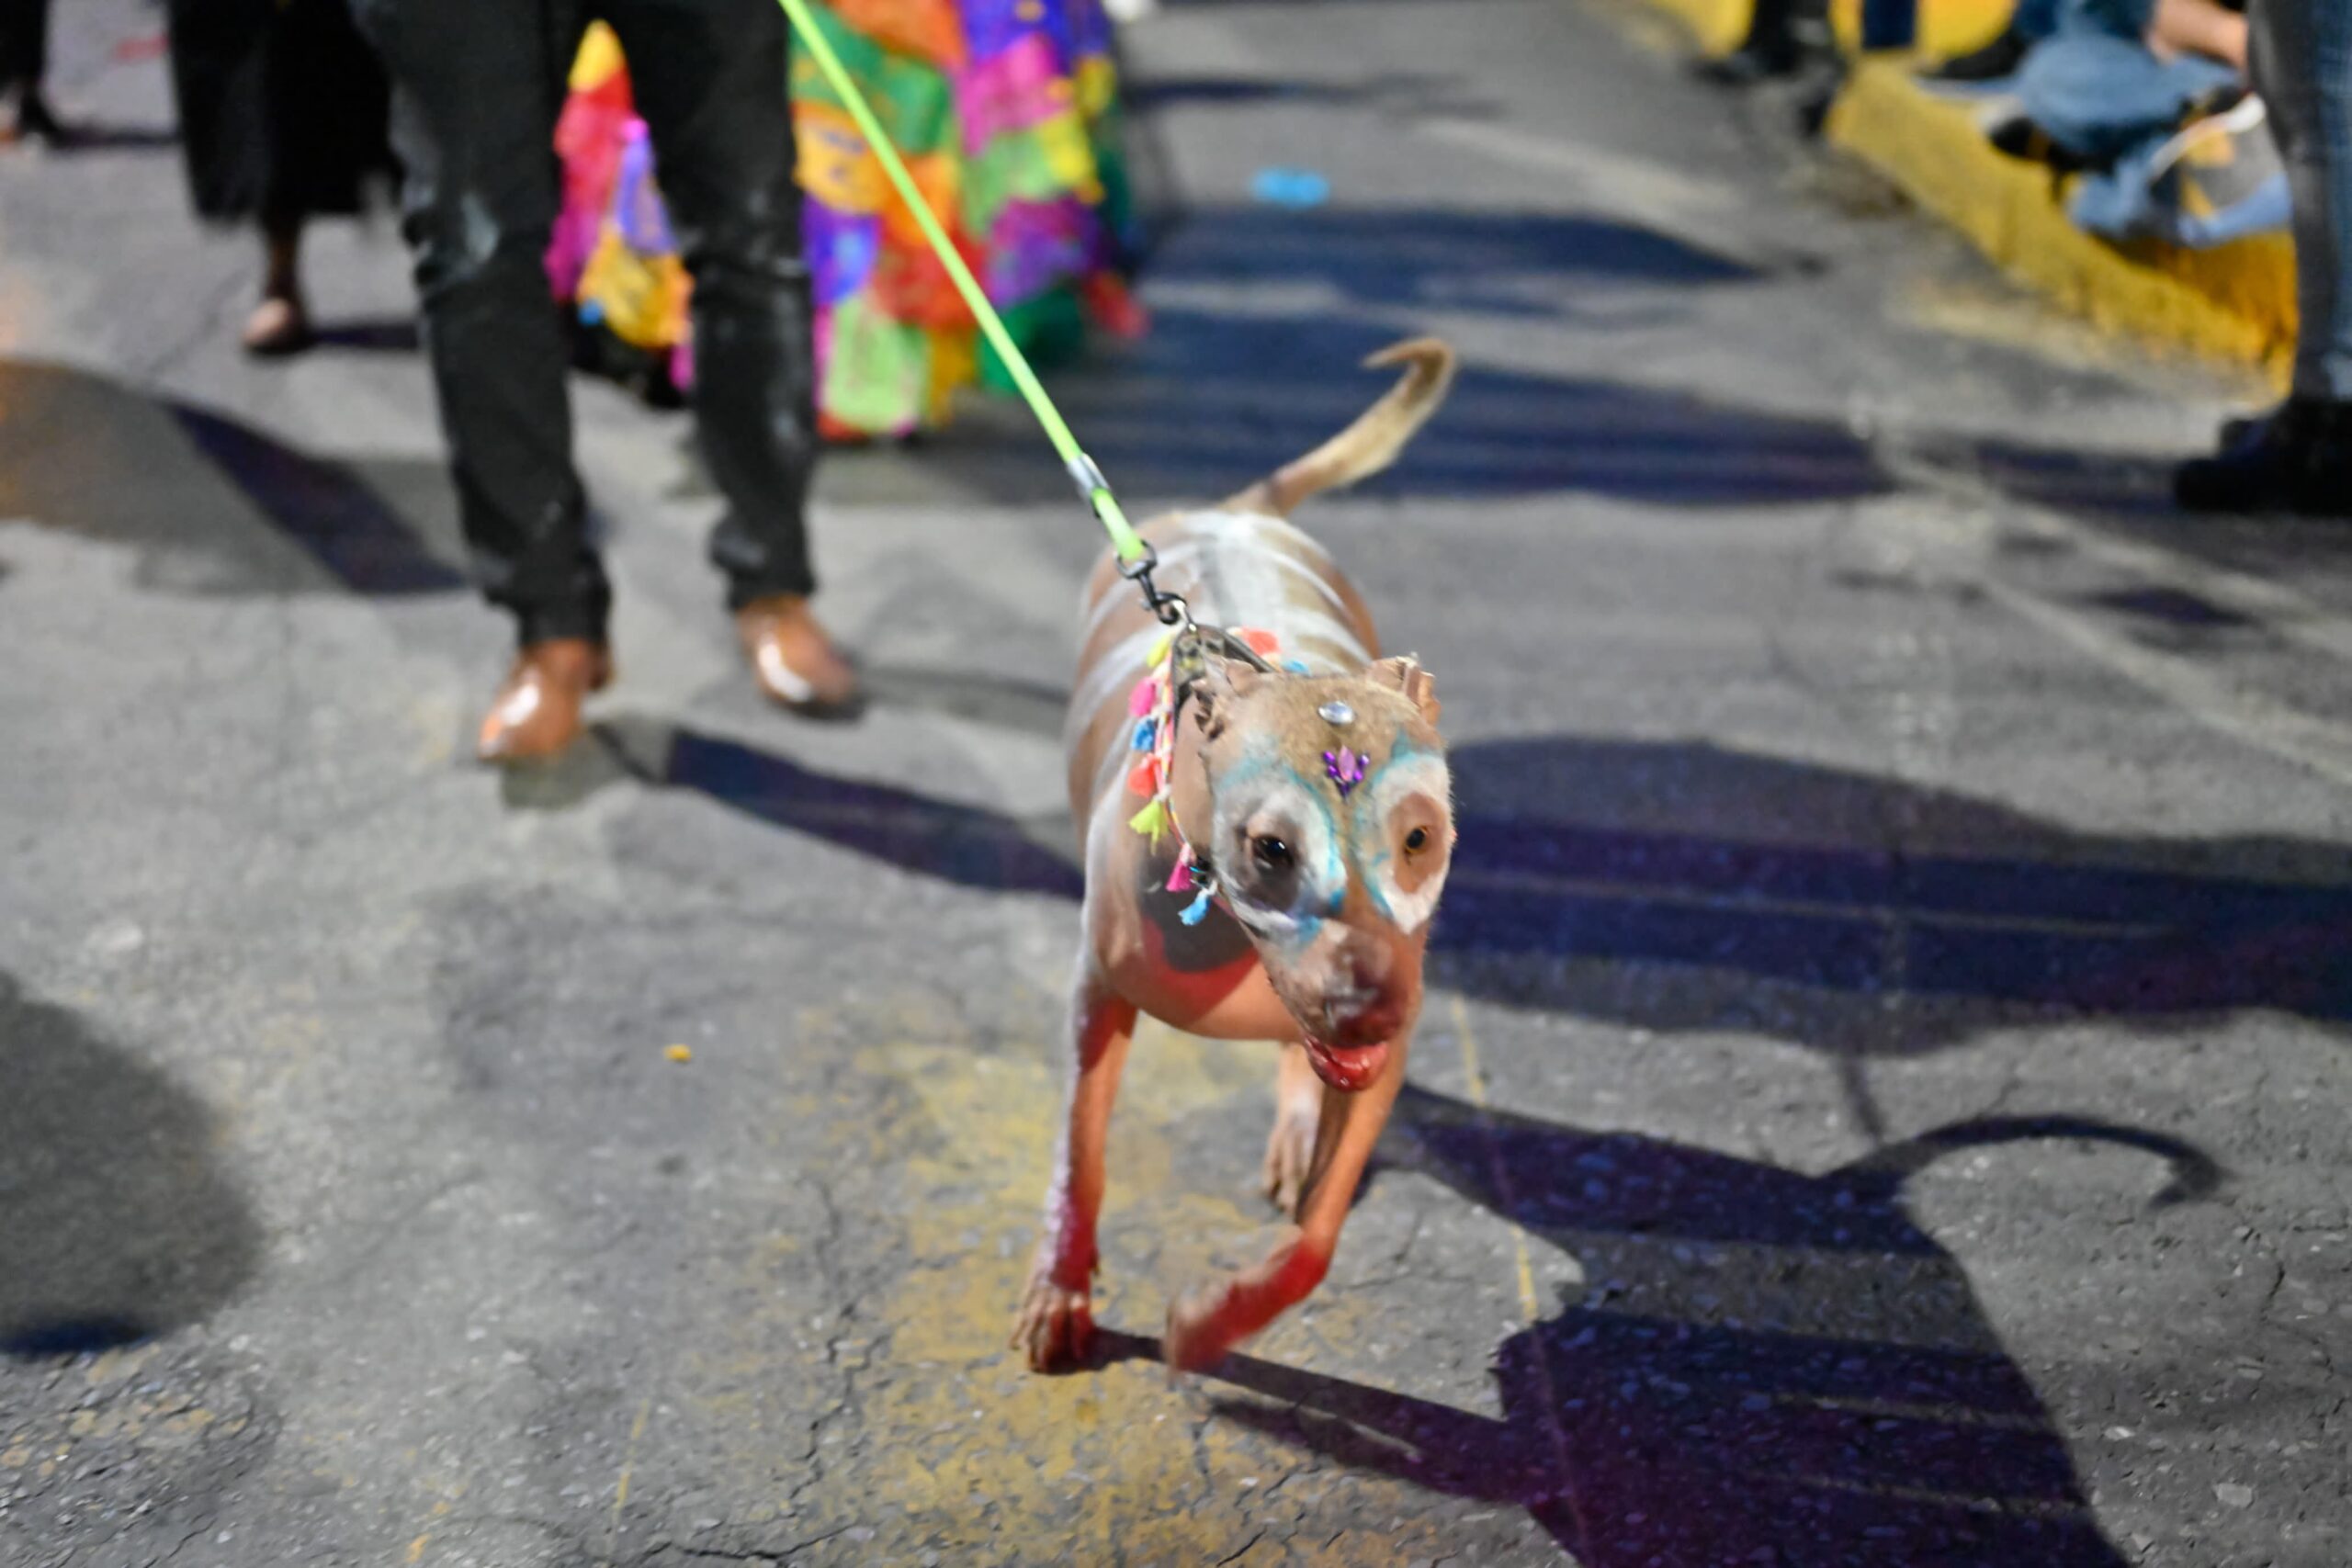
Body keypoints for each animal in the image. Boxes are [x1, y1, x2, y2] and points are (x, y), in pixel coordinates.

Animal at [1014, 339, 1459, 1373]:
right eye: (1269, 847)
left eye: (1418, 837)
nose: (1368, 1007)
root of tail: (1235, 509)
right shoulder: (1098, 996)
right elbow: (1079, 1152)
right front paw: (1061, 1286)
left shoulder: (1379, 1057)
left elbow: (1317, 1239)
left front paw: (1216, 1318)